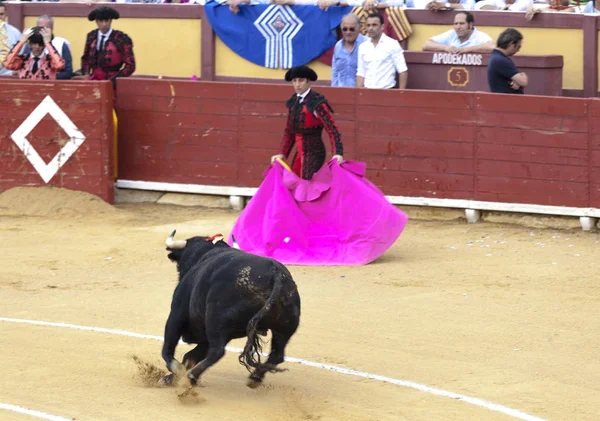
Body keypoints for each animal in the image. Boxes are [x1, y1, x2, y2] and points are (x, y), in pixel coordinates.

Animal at [161, 230, 300, 388]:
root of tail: (276, 274)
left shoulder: (176, 315)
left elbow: (168, 349)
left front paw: (174, 373)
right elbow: (191, 355)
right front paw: (172, 378)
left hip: (215, 321)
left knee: (217, 351)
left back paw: (192, 375)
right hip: (284, 327)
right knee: (277, 355)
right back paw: (255, 377)